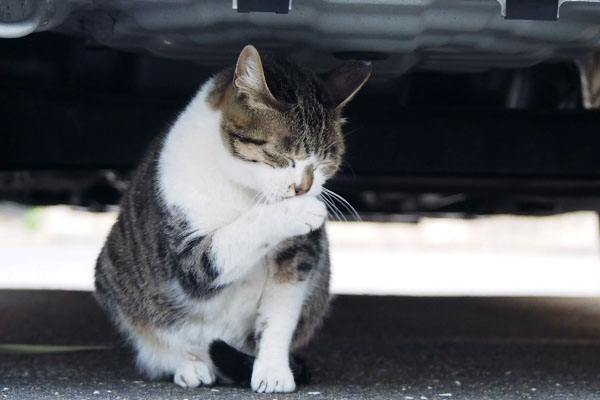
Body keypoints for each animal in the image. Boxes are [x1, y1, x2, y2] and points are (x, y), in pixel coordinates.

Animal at [94, 45, 370, 392]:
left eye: (323, 163)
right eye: (283, 156)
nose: (303, 188)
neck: (245, 189)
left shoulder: (301, 255)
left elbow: (279, 316)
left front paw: (273, 371)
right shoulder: (187, 257)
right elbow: (232, 237)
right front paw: (298, 211)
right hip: (114, 276)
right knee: (155, 345)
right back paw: (188, 365)